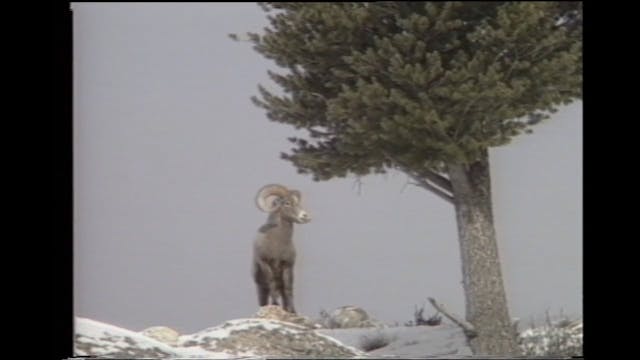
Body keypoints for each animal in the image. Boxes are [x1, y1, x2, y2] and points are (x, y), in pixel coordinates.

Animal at [251, 184, 312, 314]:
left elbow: (289, 288)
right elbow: (271, 283)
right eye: (287, 203)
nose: (305, 216)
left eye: (298, 203)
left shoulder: (288, 266)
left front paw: (292, 311)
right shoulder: (265, 263)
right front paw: (275, 304)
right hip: (260, 288)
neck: (277, 244)